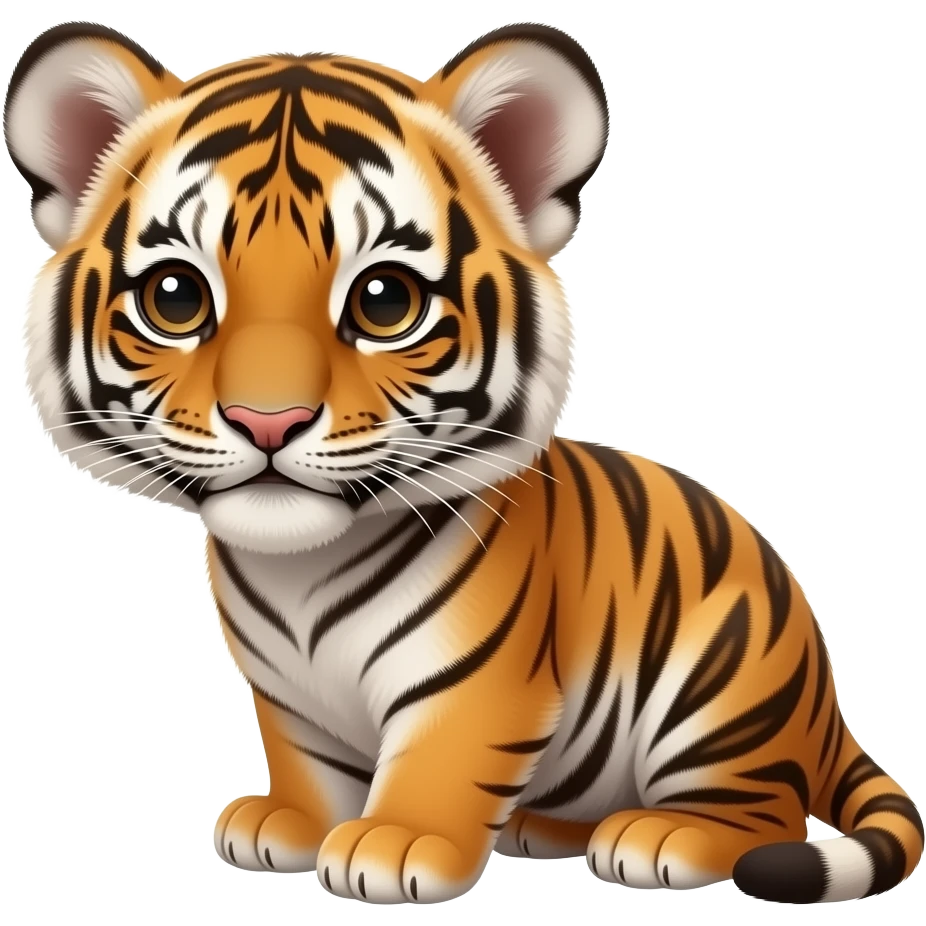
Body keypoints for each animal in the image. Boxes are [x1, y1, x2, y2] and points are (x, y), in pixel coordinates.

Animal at [5, 18, 923, 907]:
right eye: (175, 298)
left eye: (384, 302)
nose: (270, 421)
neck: (297, 573)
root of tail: (824, 704)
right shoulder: (290, 699)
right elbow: (307, 761)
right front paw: (288, 824)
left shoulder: (477, 686)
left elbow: (445, 763)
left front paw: (394, 844)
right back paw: (548, 830)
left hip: (721, 692)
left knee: (763, 813)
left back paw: (659, 838)